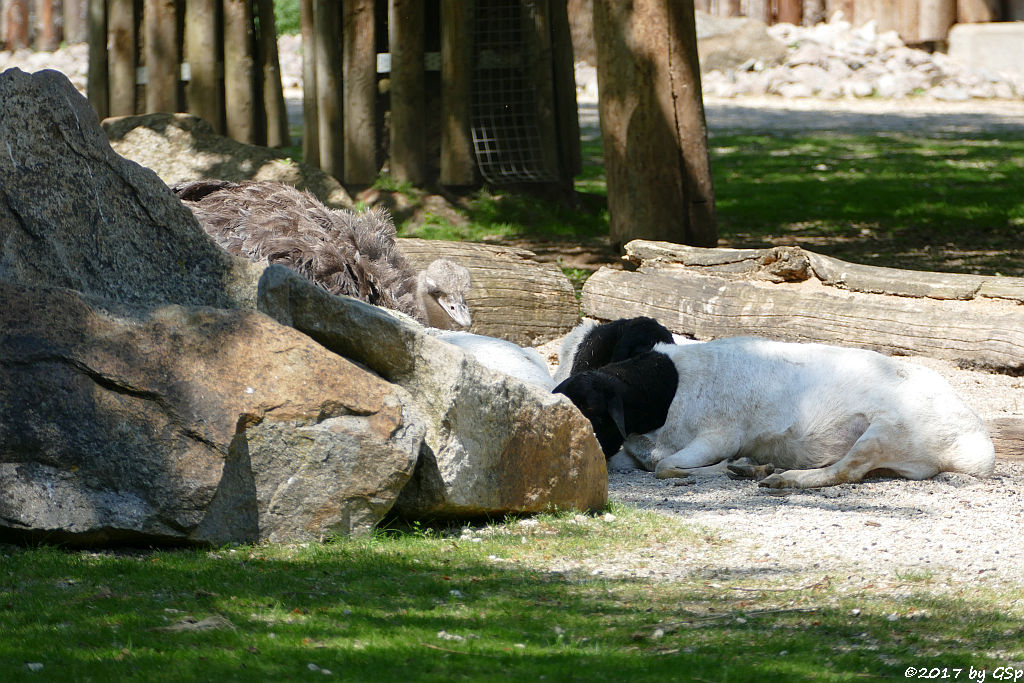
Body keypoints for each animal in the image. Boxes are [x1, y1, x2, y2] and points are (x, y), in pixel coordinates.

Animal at [647, 335, 991, 485]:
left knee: (847, 470)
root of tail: (975, 445)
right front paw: (746, 466)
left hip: (885, 431)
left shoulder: (721, 435)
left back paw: (781, 480)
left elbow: (663, 466)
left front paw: (747, 468)